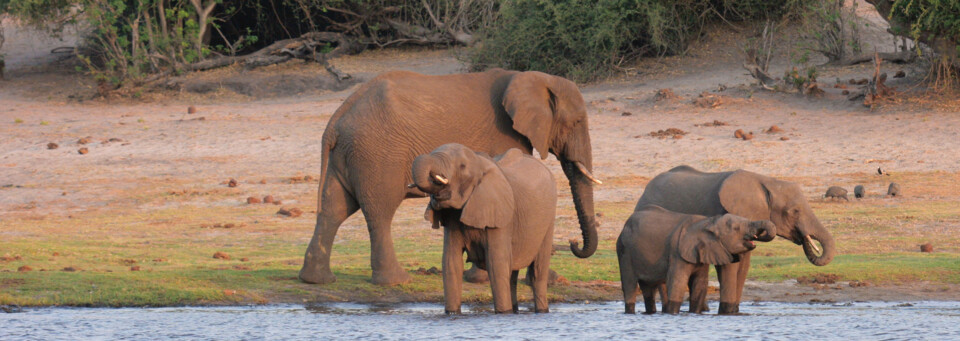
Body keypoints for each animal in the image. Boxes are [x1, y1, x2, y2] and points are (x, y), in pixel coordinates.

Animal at [300, 67, 600, 284]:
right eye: (576, 122)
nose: (573, 243)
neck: (534, 77)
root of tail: (335, 121)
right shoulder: (504, 137)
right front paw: (482, 278)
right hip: (376, 154)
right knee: (380, 211)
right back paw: (396, 282)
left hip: (349, 154)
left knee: (334, 208)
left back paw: (317, 280)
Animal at [410, 144, 560, 314]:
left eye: (462, 166)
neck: (479, 163)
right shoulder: (452, 218)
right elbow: (451, 262)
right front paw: (452, 314)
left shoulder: (500, 216)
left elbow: (496, 264)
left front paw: (503, 313)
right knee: (512, 273)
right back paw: (515, 310)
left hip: (548, 219)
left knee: (537, 272)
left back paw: (541, 311)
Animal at [620, 205, 776, 314]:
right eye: (736, 228)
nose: (757, 236)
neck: (708, 222)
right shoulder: (678, 252)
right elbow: (678, 282)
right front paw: (673, 313)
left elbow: (700, 283)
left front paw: (694, 313)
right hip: (624, 250)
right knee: (629, 285)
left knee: (649, 288)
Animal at [636, 165, 832, 314]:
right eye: (794, 211)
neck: (766, 181)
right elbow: (729, 264)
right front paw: (727, 312)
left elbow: (744, 264)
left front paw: (735, 311)